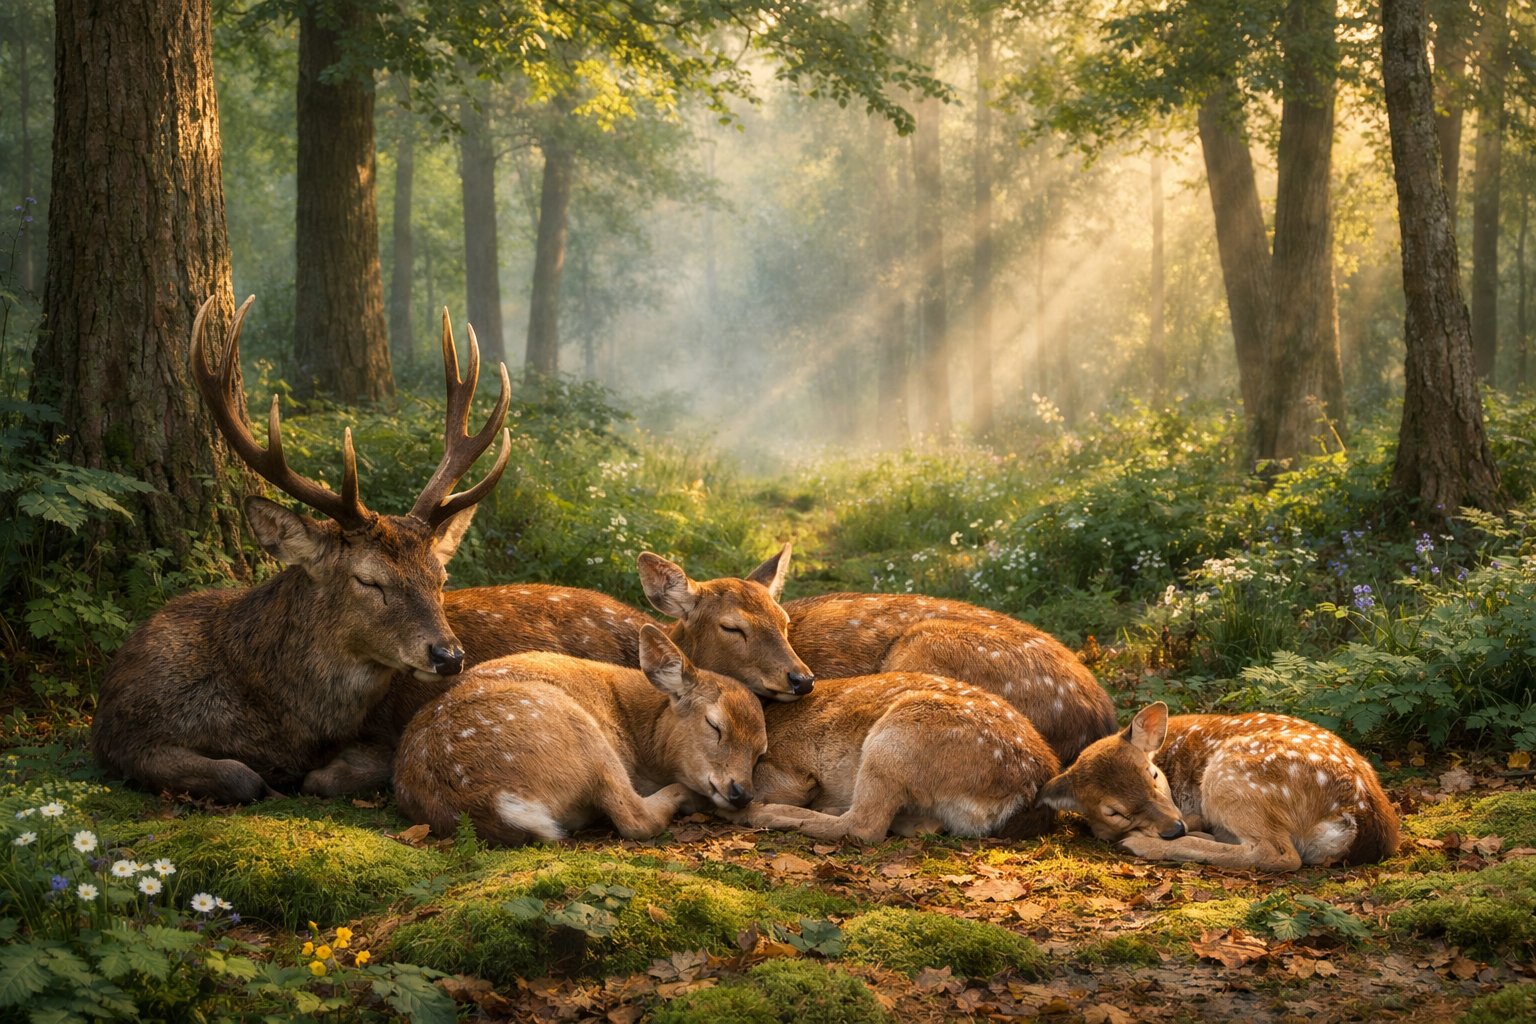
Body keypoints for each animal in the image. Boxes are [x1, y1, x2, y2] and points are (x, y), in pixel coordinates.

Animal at [392, 624, 768, 845]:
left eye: (760, 750)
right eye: (714, 725)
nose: (741, 793)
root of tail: (497, 800)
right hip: (581, 734)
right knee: (635, 818)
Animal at [726, 673, 1061, 844]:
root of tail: (1028, 785)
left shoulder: (790, 767)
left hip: (895, 739)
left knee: (864, 827)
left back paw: (763, 815)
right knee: (924, 826)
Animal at [1036, 703, 1401, 871]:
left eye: (1152, 775)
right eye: (1114, 811)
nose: (1173, 829)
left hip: (1231, 775)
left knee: (1278, 854)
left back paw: (1144, 844)